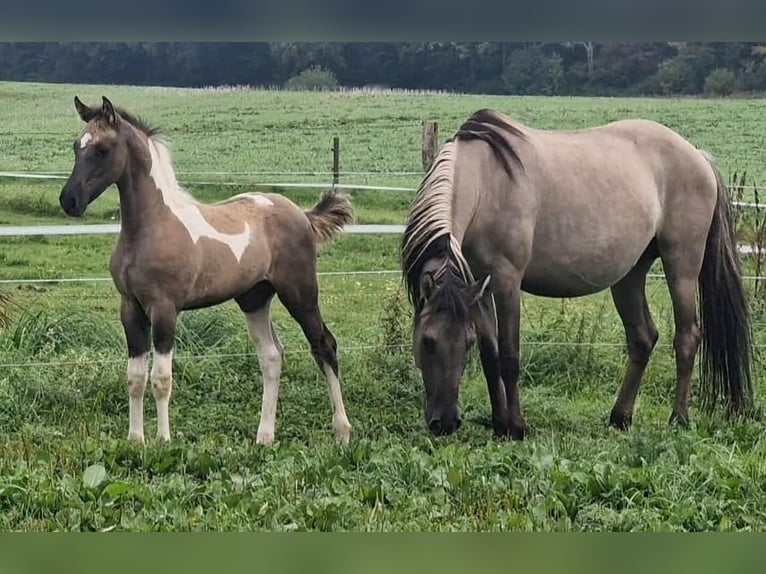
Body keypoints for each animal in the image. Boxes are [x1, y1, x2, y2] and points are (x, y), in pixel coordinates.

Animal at [60, 97, 354, 448]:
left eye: (103, 149)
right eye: (76, 146)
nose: (69, 200)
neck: (152, 225)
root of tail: (302, 214)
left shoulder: (165, 309)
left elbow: (161, 378)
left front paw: (163, 440)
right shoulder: (130, 308)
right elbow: (135, 378)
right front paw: (135, 440)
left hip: (300, 293)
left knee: (324, 345)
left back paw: (342, 431)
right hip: (255, 299)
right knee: (271, 356)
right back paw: (264, 436)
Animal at [404, 109, 752, 440]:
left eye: (460, 343)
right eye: (427, 341)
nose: (444, 423)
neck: (486, 182)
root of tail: (698, 156)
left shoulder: (507, 282)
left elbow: (509, 357)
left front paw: (516, 428)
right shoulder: (481, 285)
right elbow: (491, 358)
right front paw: (499, 425)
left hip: (681, 265)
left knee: (687, 337)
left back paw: (678, 419)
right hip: (630, 274)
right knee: (642, 338)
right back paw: (620, 417)